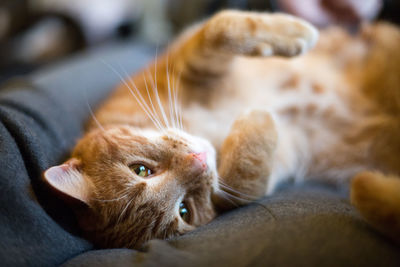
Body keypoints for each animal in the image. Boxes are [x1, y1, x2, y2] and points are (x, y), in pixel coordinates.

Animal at [43, 10, 400, 249]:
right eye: (184, 210)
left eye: (141, 170)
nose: (199, 161)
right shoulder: (283, 153)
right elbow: (245, 181)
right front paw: (259, 119)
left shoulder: (183, 57)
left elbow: (221, 28)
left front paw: (297, 32)